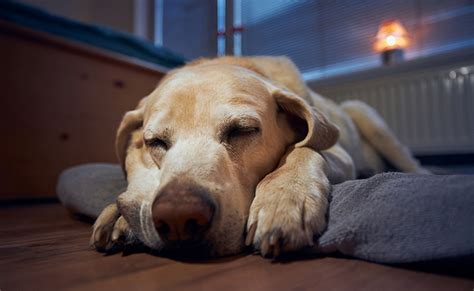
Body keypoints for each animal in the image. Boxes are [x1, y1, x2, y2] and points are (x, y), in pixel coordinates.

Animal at [90, 56, 428, 258]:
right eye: (155, 142)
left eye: (242, 130)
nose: (178, 219)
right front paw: (119, 214)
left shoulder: (338, 151)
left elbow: (303, 148)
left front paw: (284, 199)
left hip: (367, 117)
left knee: (415, 165)